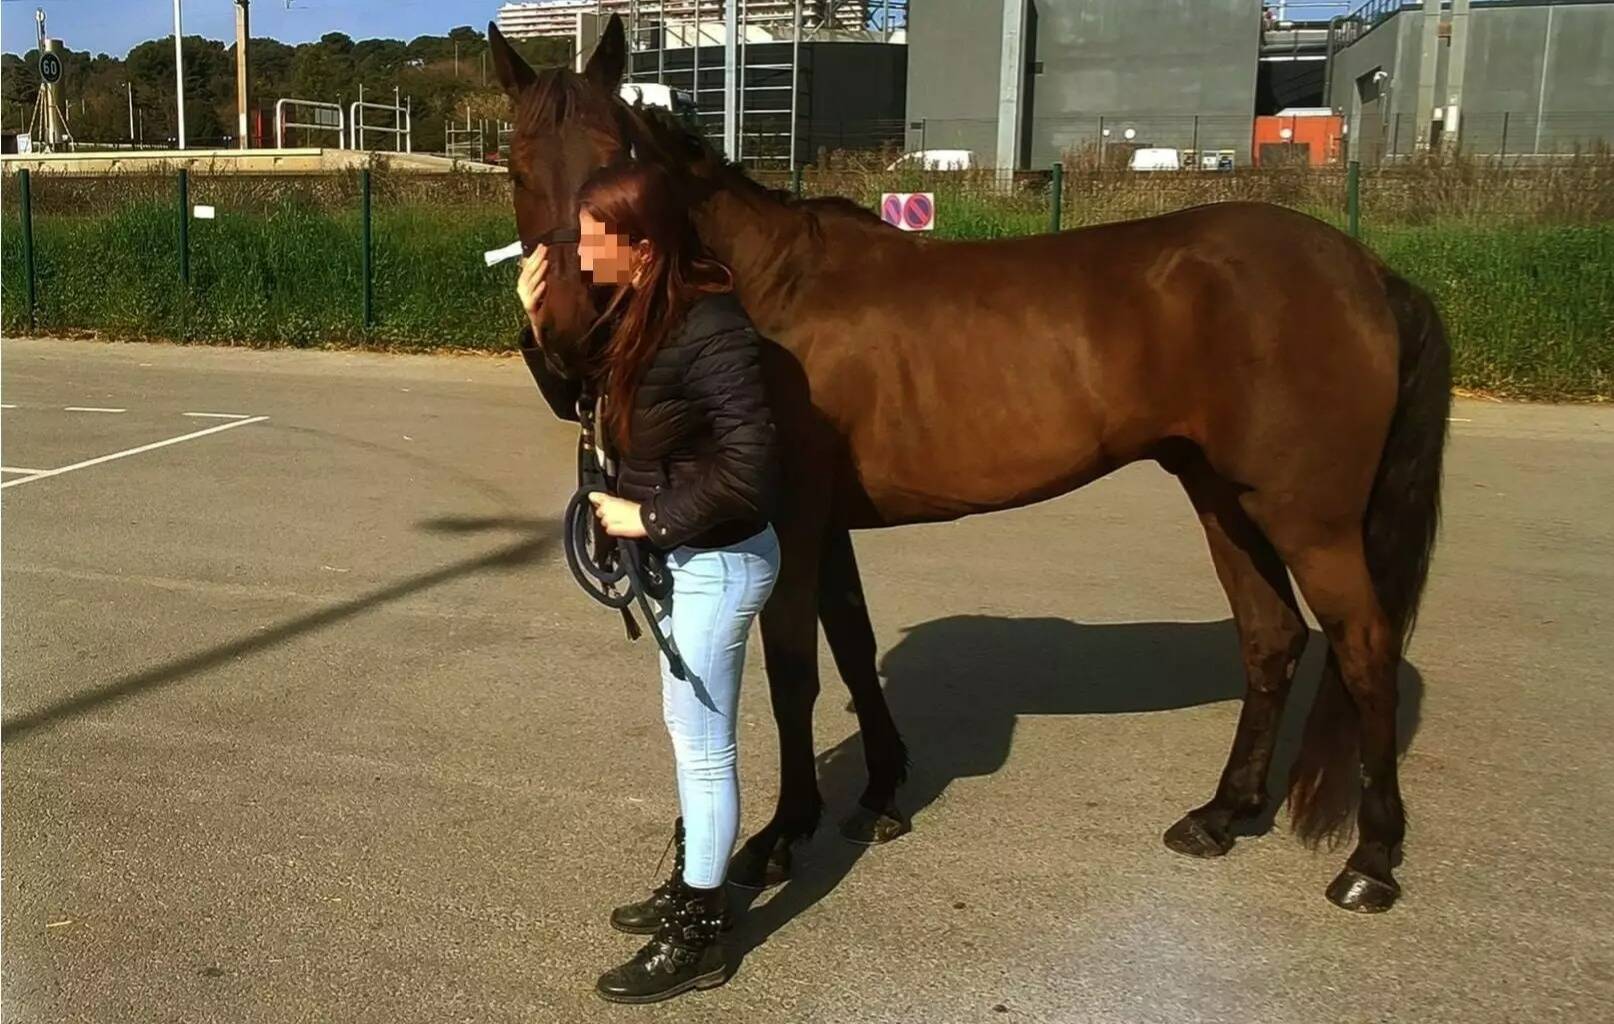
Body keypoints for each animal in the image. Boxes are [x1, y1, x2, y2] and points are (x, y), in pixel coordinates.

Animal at [489, 17, 1450, 914]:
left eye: (618, 160)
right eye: (518, 165)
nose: (569, 327)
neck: (769, 287)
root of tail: (1367, 270)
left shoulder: (790, 521)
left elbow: (795, 673)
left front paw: (783, 833)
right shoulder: (829, 525)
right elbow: (853, 644)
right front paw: (881, 793)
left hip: (1307, 517)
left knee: (1363, 649)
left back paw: (1370, 863)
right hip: (1224, 498)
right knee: (1272, 639)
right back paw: (1221, 814)